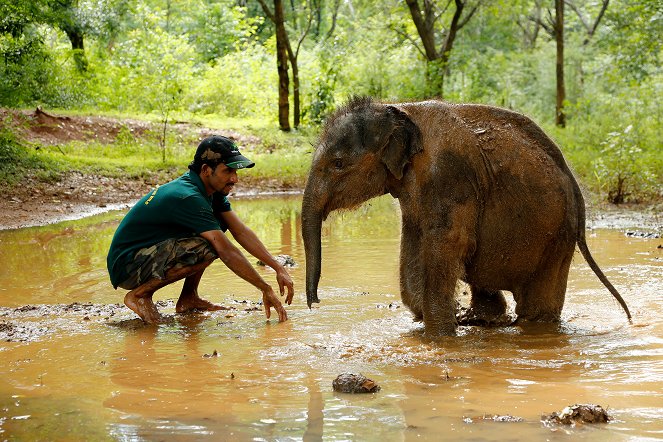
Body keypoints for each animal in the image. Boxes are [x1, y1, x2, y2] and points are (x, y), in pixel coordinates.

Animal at [304, 96, 632, 334]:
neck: (396, 108)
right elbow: (414, 242)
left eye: (337, 164)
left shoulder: (450, 176)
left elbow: (449, 243)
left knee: (536, 304)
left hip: (557, 233)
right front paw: (441, 319)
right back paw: (483, 318)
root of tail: (575, 187)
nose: (314, 303)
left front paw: (440, 335)